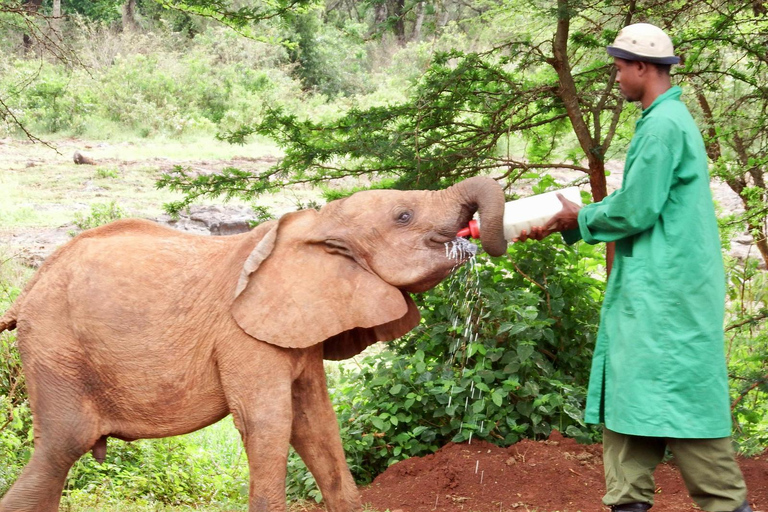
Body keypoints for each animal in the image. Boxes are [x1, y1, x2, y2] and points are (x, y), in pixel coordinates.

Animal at [1, 177, 510, 512]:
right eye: (404, 216)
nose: (477, 238)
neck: (320, 223)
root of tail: (26, 291)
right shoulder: (241, 336)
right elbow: (268, 424)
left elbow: (316, 423)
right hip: (55, 347)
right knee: (62, 446)